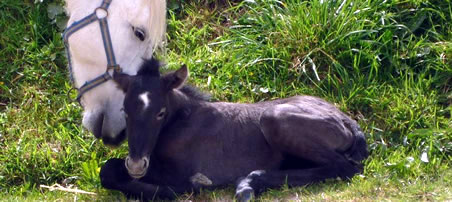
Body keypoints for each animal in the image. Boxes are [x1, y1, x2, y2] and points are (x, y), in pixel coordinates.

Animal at [99, 58, 368, 200]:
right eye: (125, 110)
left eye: (160, 113)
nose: (136, 165)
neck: (181, 121)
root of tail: (350, 123)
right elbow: (108, 170)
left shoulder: (176, 171)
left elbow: (111, 171)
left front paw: (187, 186)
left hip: (274, 118)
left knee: (344, 167)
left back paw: (248, 183)